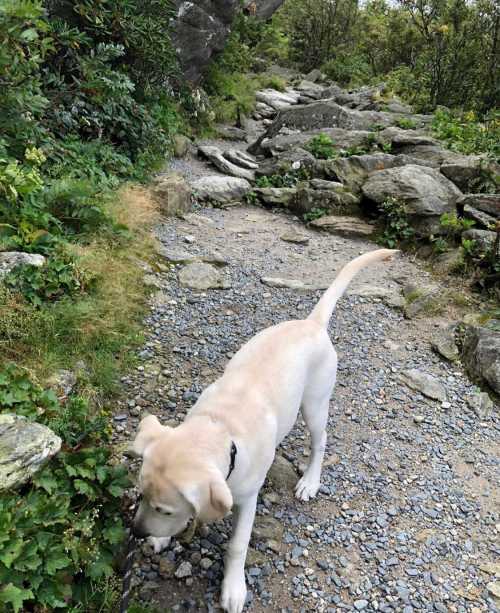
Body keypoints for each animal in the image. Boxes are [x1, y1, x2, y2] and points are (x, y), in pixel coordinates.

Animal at [131, 249, 396, 612]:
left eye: (164, 510)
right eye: (140, 496)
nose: (136, 532)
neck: (220, 426)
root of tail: (312, 323)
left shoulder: (247, 499)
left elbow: (237, 545)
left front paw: (233, 588)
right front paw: (161, 537)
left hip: (315, 404)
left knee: (320, 442)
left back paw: (310, 481)